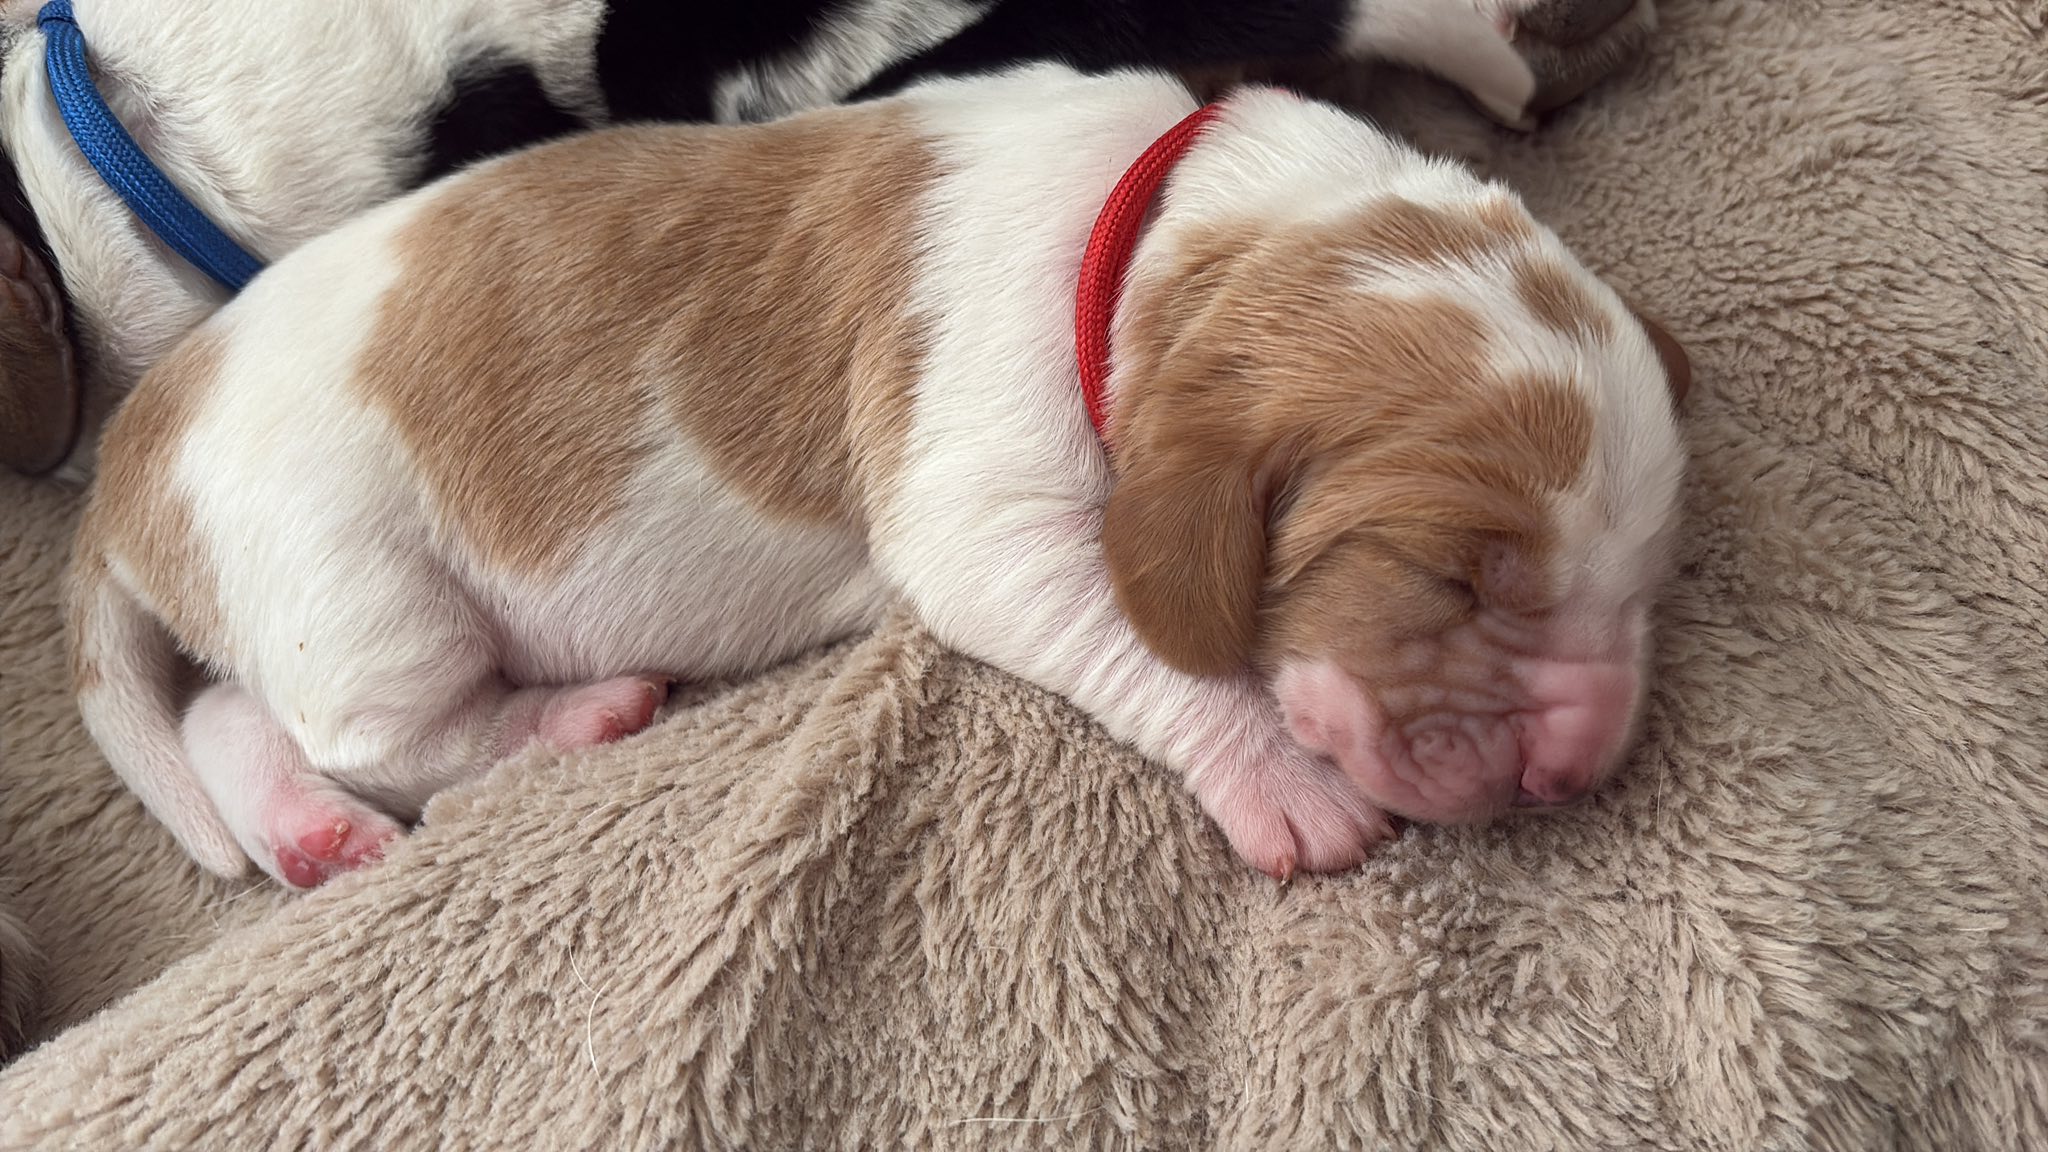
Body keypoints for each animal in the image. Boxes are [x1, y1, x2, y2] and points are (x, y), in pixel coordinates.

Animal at [67, 64, 1689, 888]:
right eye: (1448, 576)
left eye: (1650, 580)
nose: (1578, 766)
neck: (1160, 212)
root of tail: (124, 474)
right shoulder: (986, 504)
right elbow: (1152, 647)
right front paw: (1289, 787)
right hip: (363, 590)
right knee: (383, 736)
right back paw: (574, 717)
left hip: (283, 604)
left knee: (228, 714)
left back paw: (307, 834)